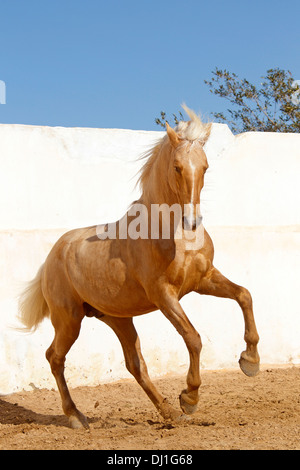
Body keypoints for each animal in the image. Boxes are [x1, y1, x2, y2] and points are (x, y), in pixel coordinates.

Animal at [18, 106, 260, 430]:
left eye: (205, 167)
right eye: (177, 167)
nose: (193, 222)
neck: (172, 236)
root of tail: (53, 254)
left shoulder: (204, 280)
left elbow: (244, 295)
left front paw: (250, 361)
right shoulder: (164, 294)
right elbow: (193, 338)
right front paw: (190, 397)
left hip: (118, 319)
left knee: (135, 365)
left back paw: (168, 413)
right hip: (68, 319)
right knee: (54, 357)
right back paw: (76, 416)